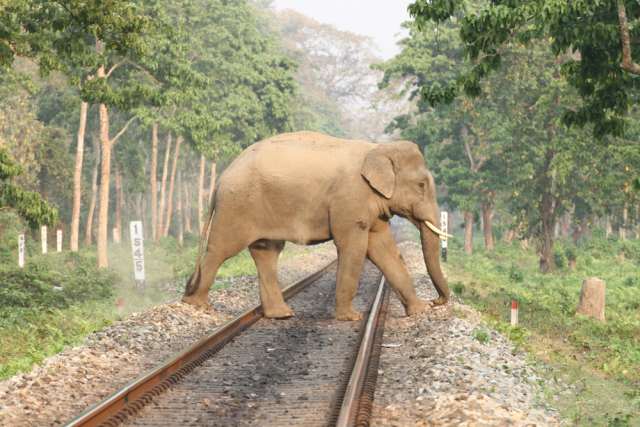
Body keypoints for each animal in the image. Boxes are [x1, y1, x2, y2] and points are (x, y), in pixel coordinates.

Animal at [181, 130, 450, 320]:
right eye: (421, 185)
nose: (436, 302)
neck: (376, 149)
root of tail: (220, 179)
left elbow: (384, 249)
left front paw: (419, 311)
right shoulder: (350, 199)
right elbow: (353, 247)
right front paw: (350, 317)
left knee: (266, 252)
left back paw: (281, 314)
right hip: (236, 207)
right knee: (221, 250)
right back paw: (196, 305)